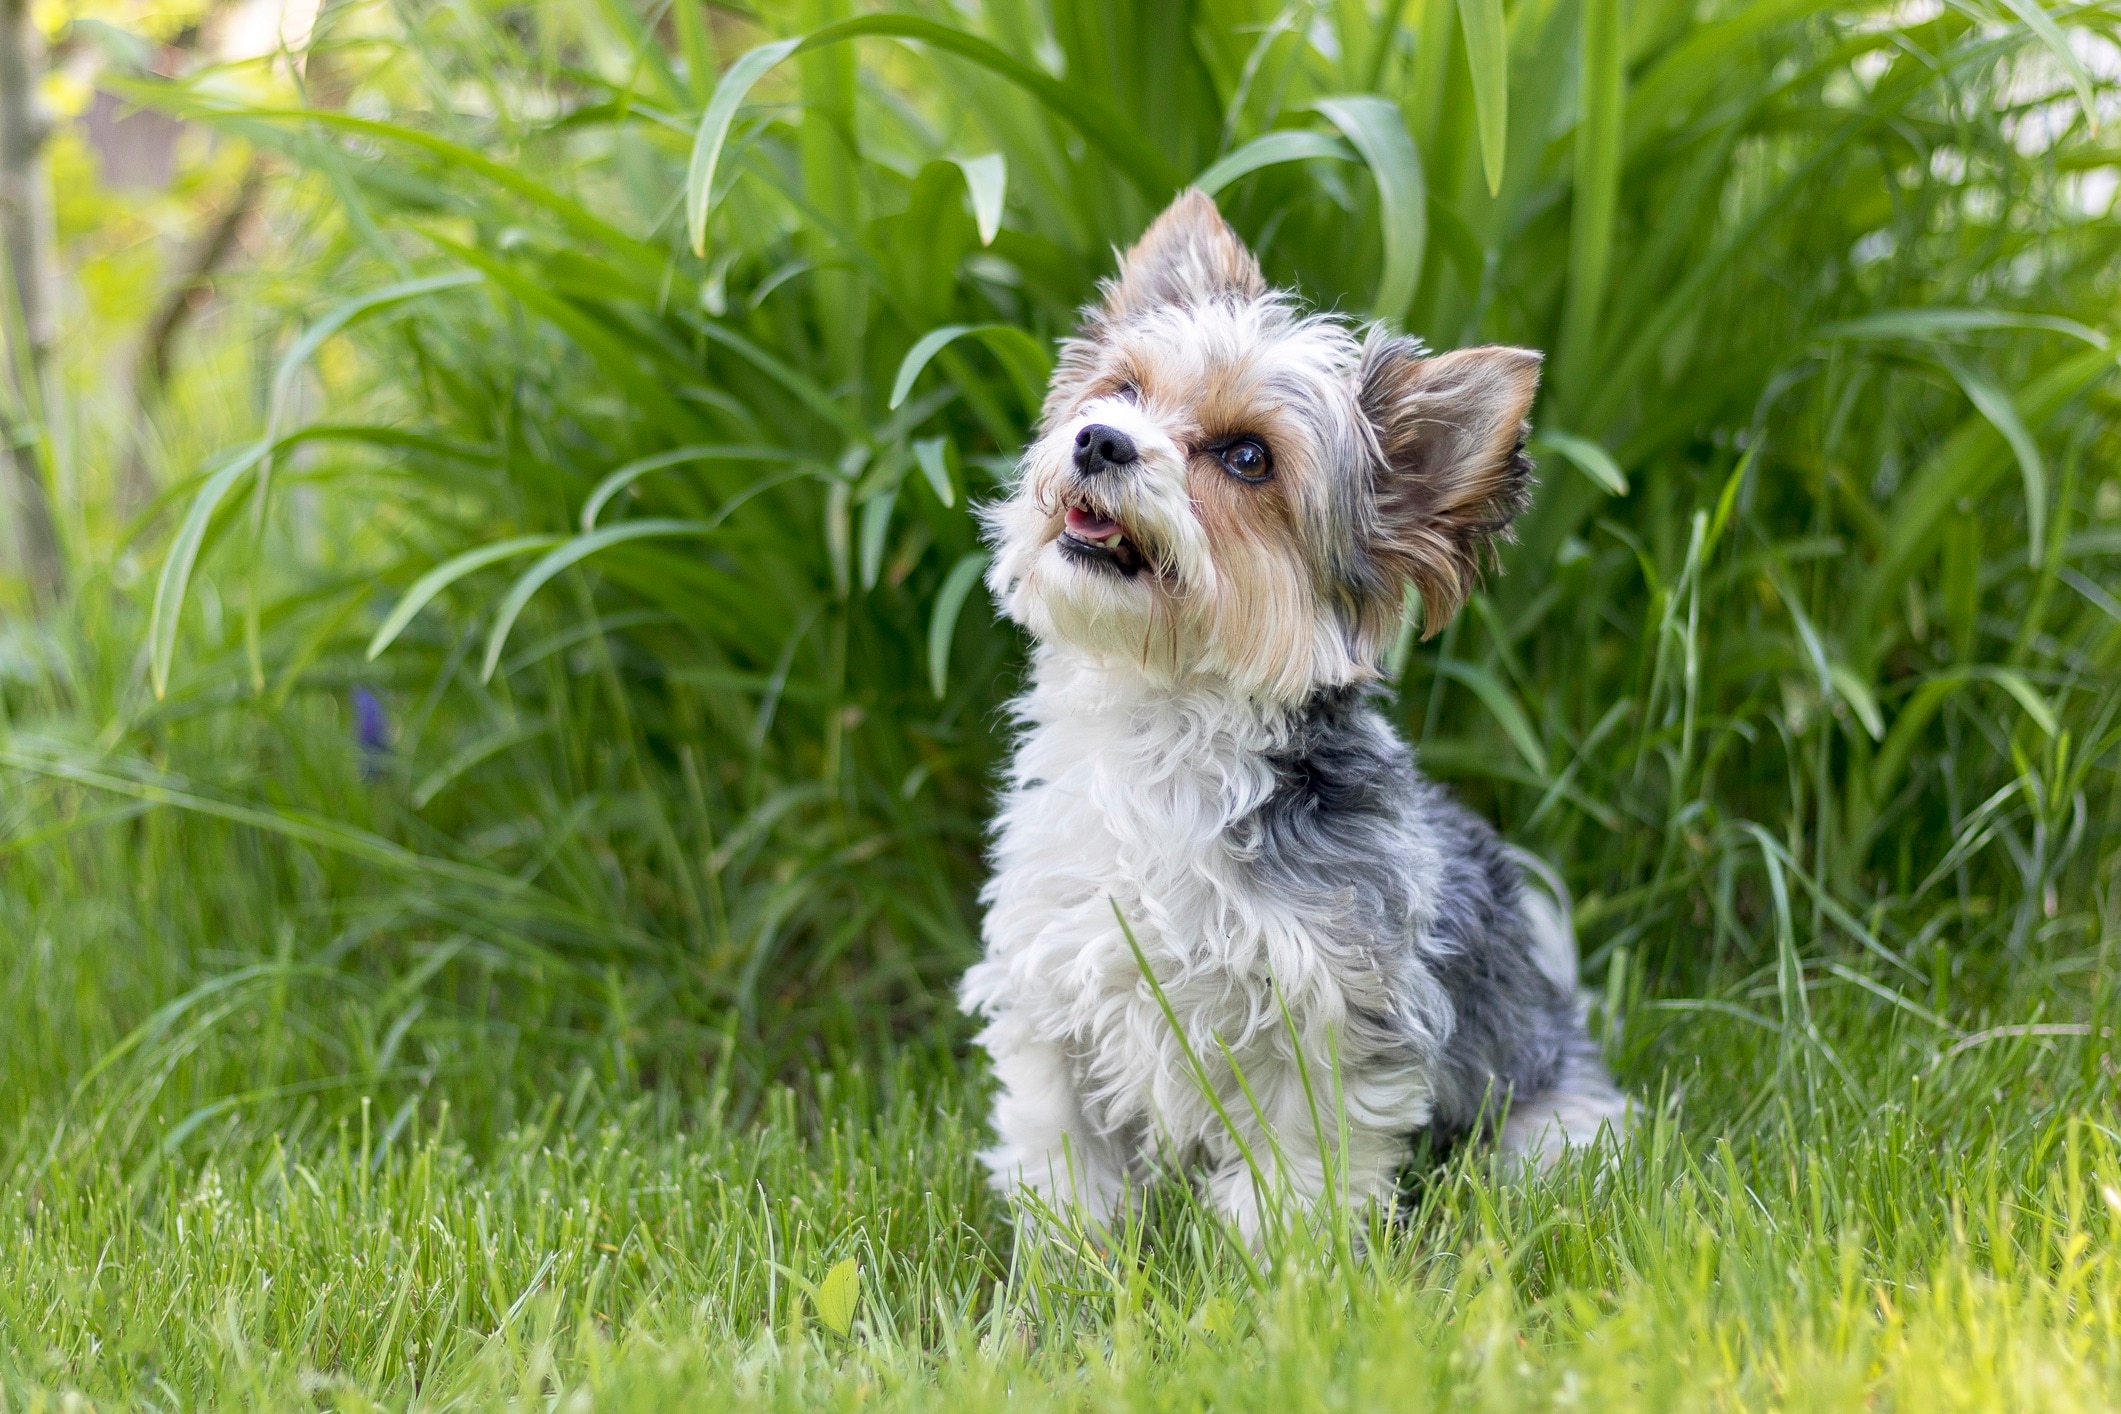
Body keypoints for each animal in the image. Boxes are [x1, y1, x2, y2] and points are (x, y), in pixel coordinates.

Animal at [954, 193, 1628, 1246]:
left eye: (1246, 458)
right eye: (1120, 390)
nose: (1099, 440)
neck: (1162, 729)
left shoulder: (1329, 1029)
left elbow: (1296, 1180)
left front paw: (1281, 1278)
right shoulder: (1053, 997)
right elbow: (1065, 1163)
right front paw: (1066, 1268)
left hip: (1553, 1128)